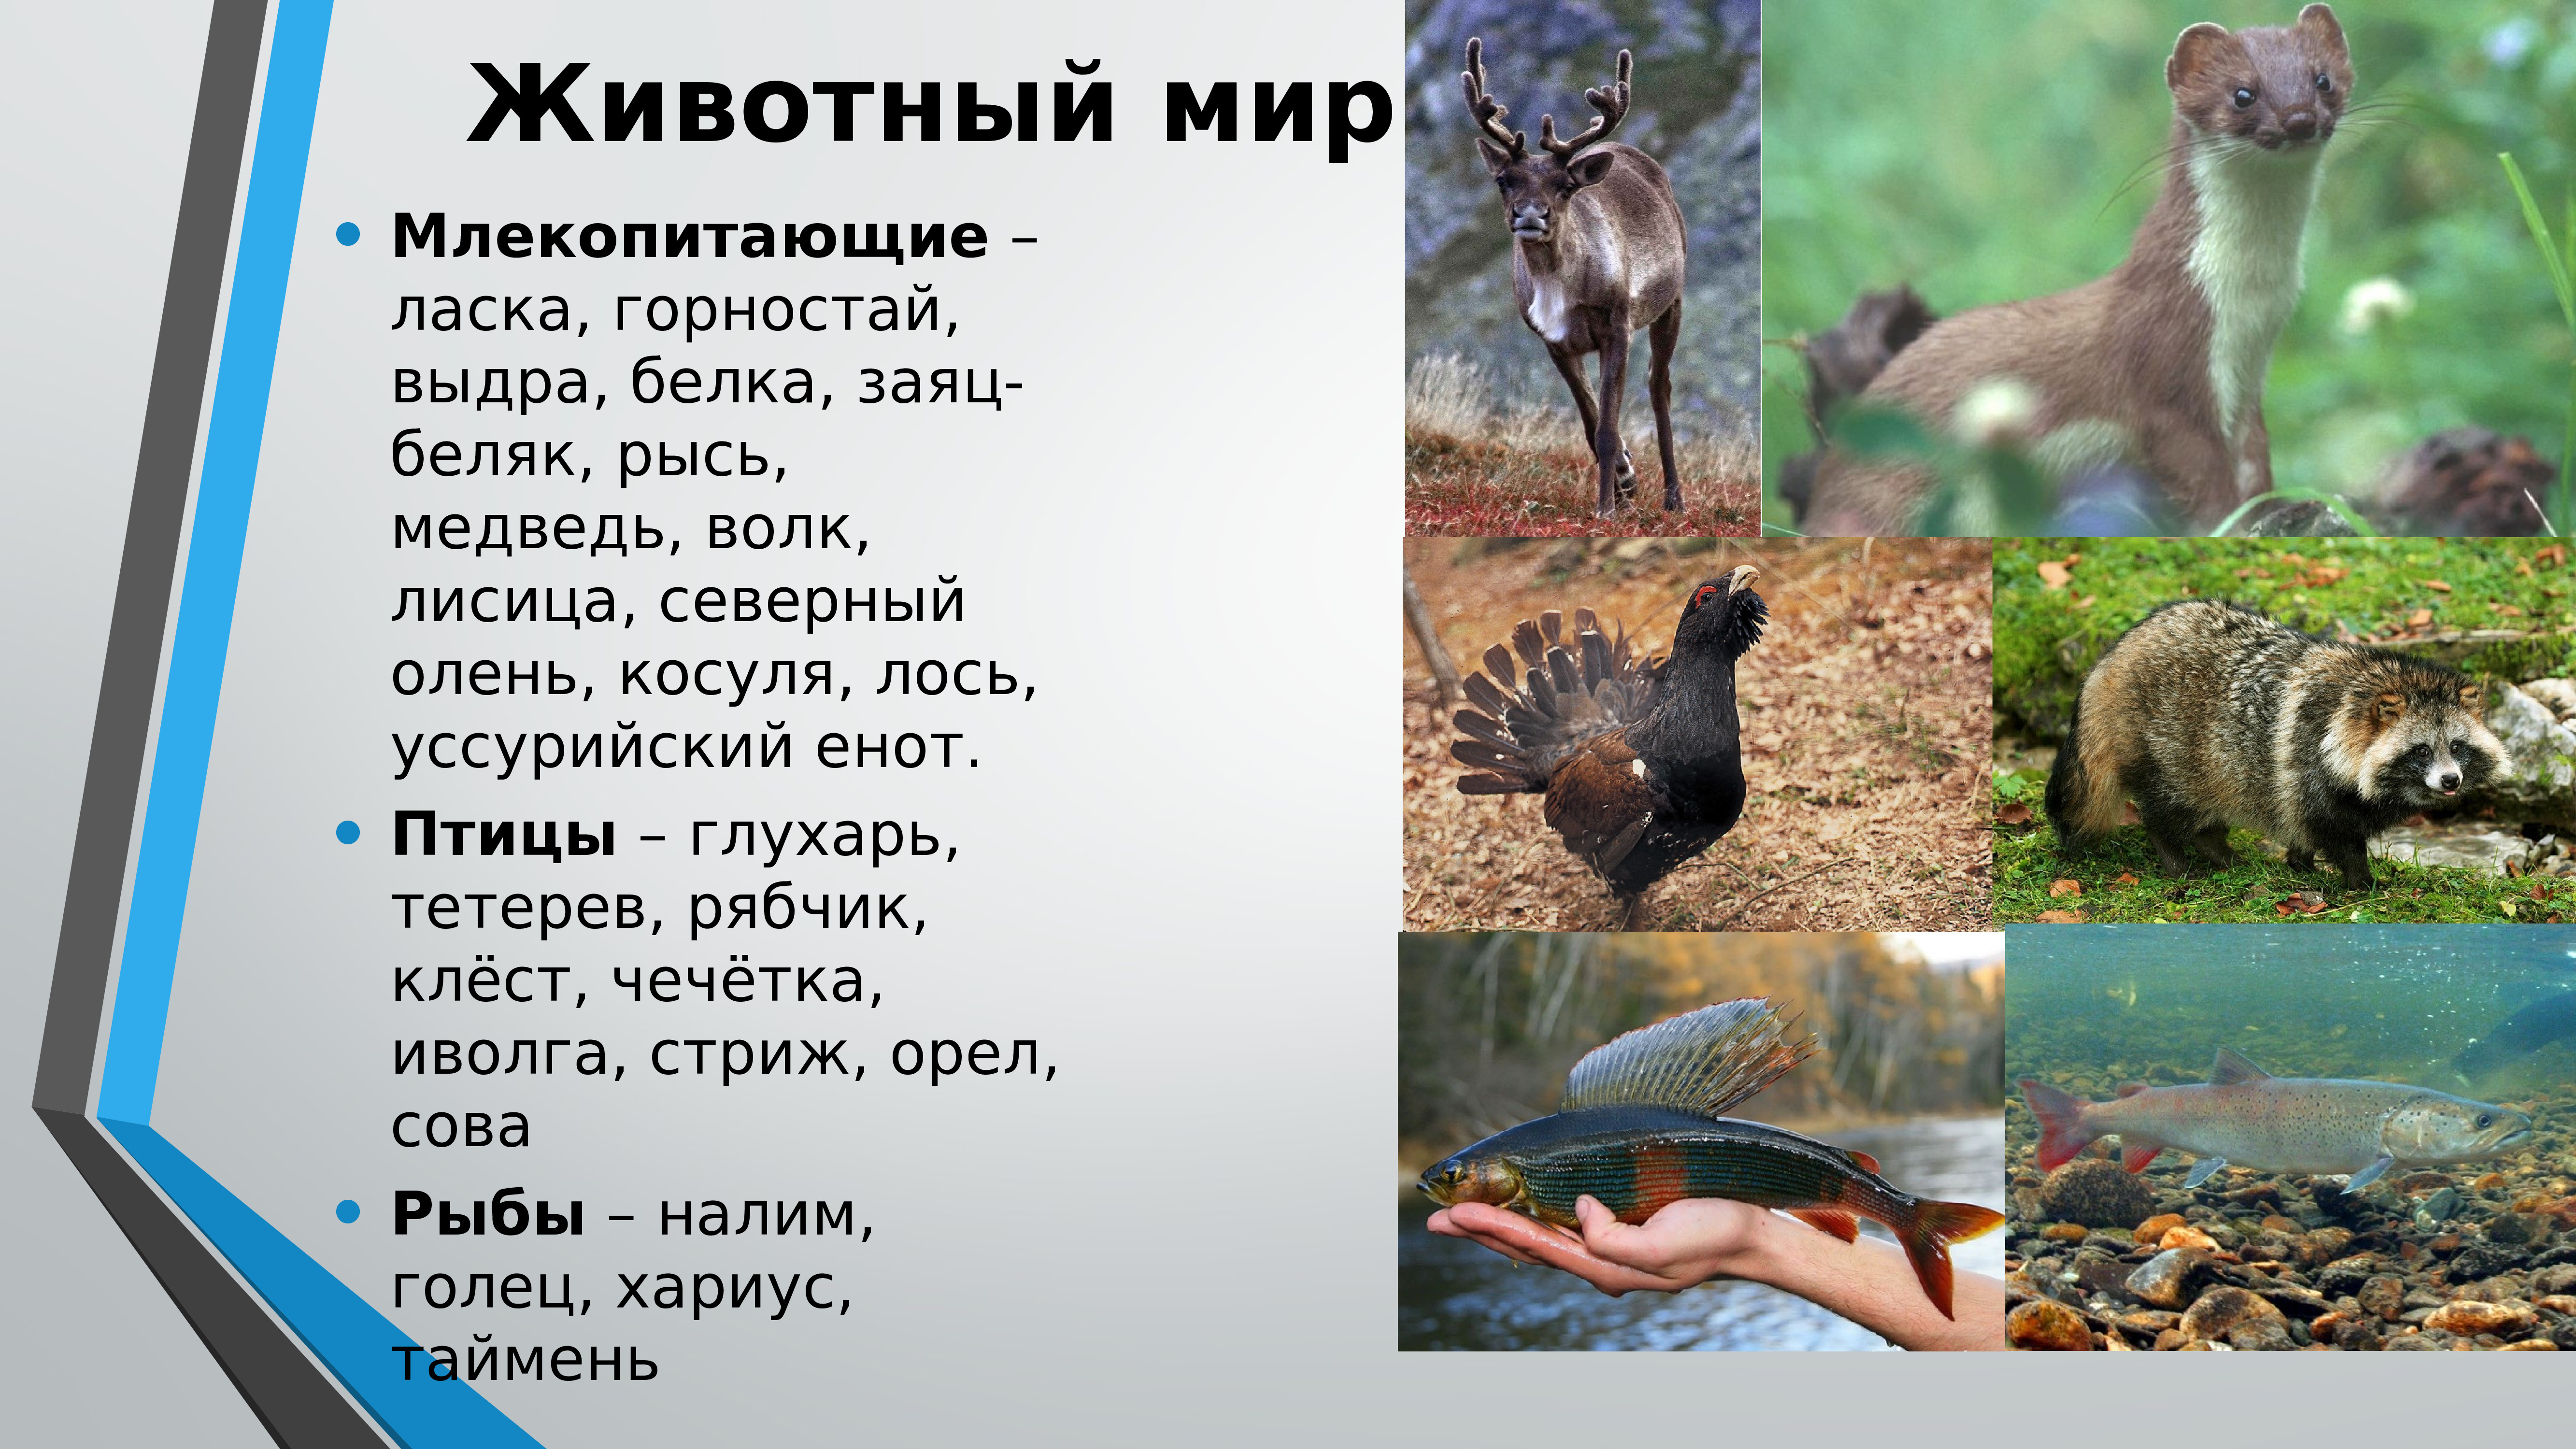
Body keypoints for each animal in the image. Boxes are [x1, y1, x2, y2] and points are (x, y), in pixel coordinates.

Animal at [1799, 5, 2353, 536]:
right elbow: (2200, 479)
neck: (2251, 301)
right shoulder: (2169, 372)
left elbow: (2255, 465)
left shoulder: (2248, 382)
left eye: (2322, 79)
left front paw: (2278, 508)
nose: (2299, 118)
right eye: (2242, 93)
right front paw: (2231, 527)